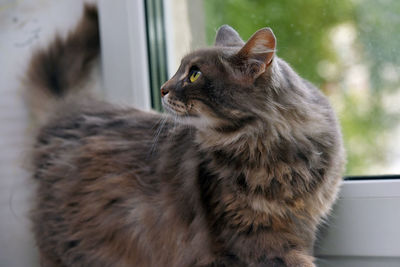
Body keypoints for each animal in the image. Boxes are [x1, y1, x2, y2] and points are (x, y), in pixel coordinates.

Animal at [25, 4, 344, 267]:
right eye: (181, 69)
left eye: (194, 75)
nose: (163, 88)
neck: (271, 150)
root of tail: (68, 111)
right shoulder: (248, 238)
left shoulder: (300, 227)